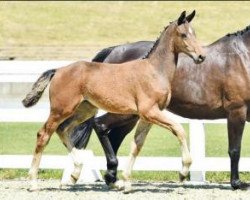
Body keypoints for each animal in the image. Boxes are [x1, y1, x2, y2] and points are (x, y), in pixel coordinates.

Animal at [22, 11, 205, 192]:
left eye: (194, 33)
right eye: (183, 34)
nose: (201, 56)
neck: (154, 71)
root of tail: (58, 70)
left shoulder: (147, 117)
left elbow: (137, 145)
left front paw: (126, 182)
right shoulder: (150, 111)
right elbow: (179, 129)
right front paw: (183, 172)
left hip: (85, 110)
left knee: (63, 129)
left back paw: (74, 175)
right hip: (61, 109)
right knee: (44, 135)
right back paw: (33, 183)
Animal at [65, 24, 250, 190]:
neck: (243, 57)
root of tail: (114, 50)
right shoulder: (236, 111)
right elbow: (235, 149)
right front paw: (236, 183)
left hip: (132, 116)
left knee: (113, 136)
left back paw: (113, 178)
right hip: (125, 113)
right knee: (101, 126)